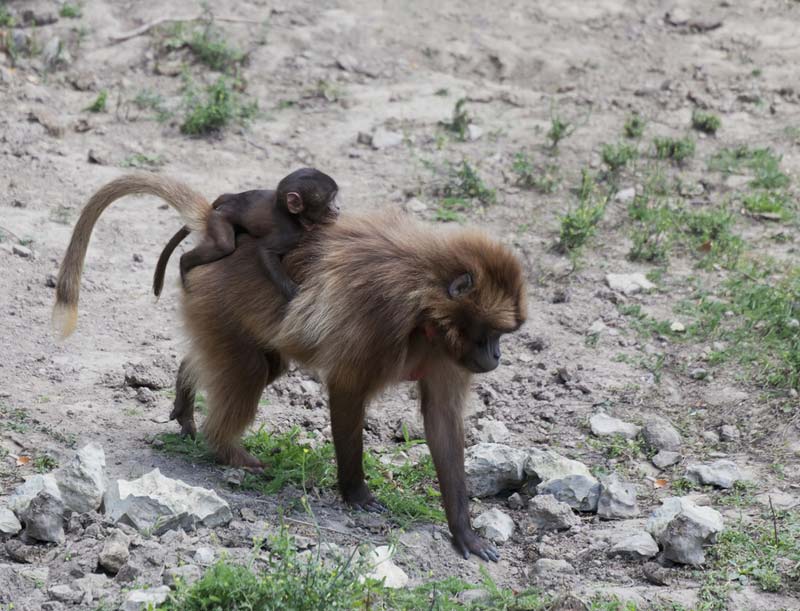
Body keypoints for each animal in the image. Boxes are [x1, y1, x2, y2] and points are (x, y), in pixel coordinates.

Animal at [152, 167, 340, 302]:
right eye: (330, 200)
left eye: (335, 198)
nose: (337, 208)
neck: (291, 215)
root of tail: (227, 201)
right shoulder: (290, 233)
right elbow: (264, 251)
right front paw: (292, 293)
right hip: (219, 218)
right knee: (224, 245)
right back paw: (184, 264)